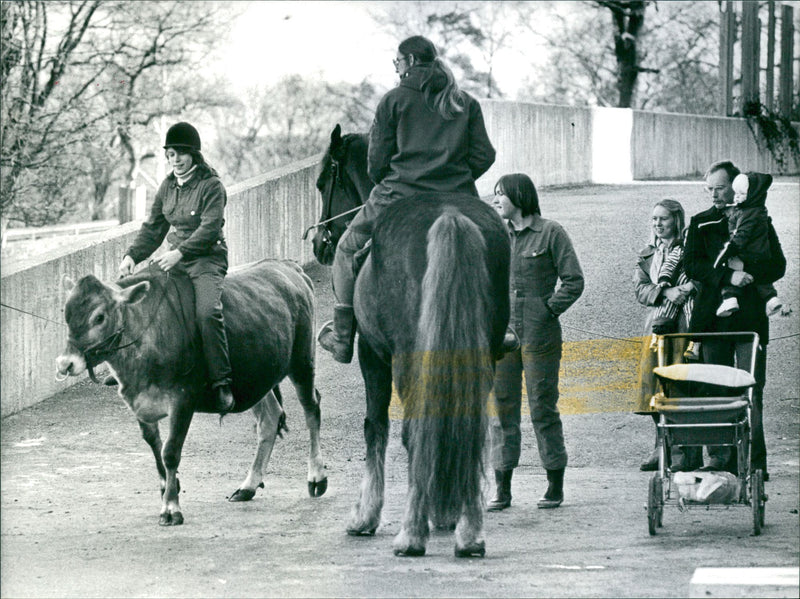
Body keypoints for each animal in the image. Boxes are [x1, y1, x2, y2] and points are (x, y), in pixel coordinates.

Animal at [314, 126, 510, 556]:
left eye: (322, 183)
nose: (320, 243)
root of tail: (449, 216)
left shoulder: (372, 354)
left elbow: (375, 427)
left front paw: (365, 515)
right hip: (479, 351)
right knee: (471, 425)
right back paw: (468, 532)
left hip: (406, 357)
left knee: (416, 430)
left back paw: (412, 533)